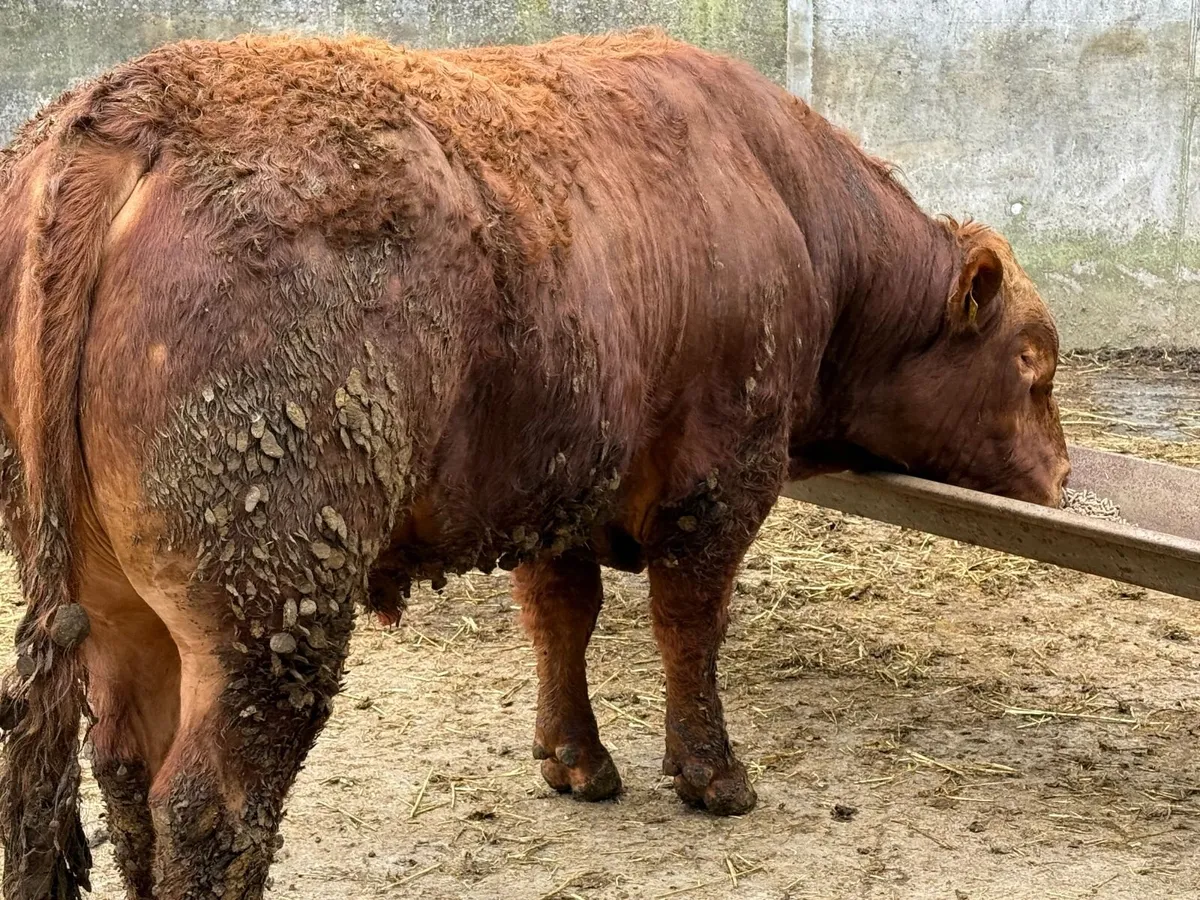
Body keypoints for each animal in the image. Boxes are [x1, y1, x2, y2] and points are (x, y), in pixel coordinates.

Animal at [0, 29, 1069, 900]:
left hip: (114, 601)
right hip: (267, 605)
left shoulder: (553, 489)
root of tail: (125, 113)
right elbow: (691, 624)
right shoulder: (720, 477)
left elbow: (562, 618)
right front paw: (713, 775)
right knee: (210, 804)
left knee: (123, 765)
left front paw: (575, 759)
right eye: (1034, 364)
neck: (783, 196)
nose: (1063, 477)